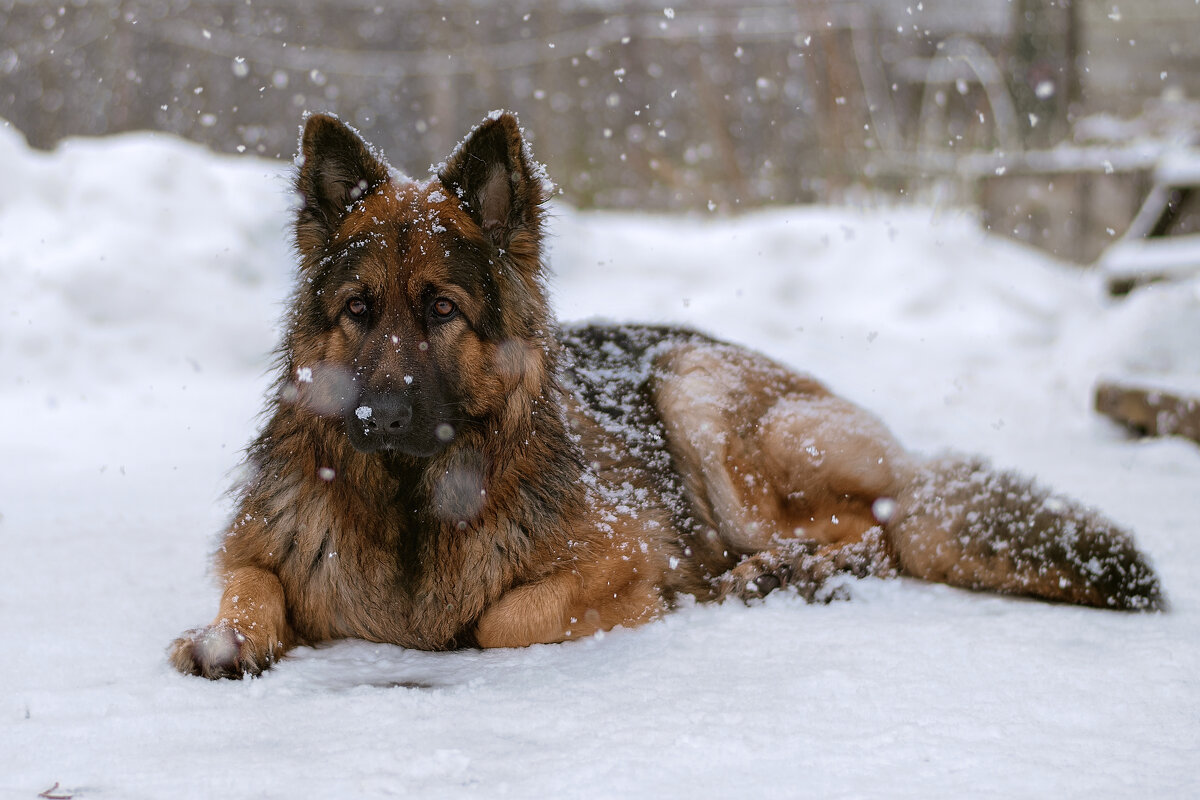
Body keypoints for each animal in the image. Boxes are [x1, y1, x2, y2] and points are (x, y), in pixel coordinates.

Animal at [169, 110, 1161, 676]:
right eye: (360, 310)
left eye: (442, 309)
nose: (376, 417)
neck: (412, 506)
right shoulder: (258, 546)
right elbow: (249, 585)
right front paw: (226, 638)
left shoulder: (614, 557)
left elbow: (501, 618)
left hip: (699, 389)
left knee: (876, 530)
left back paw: (788, 574)